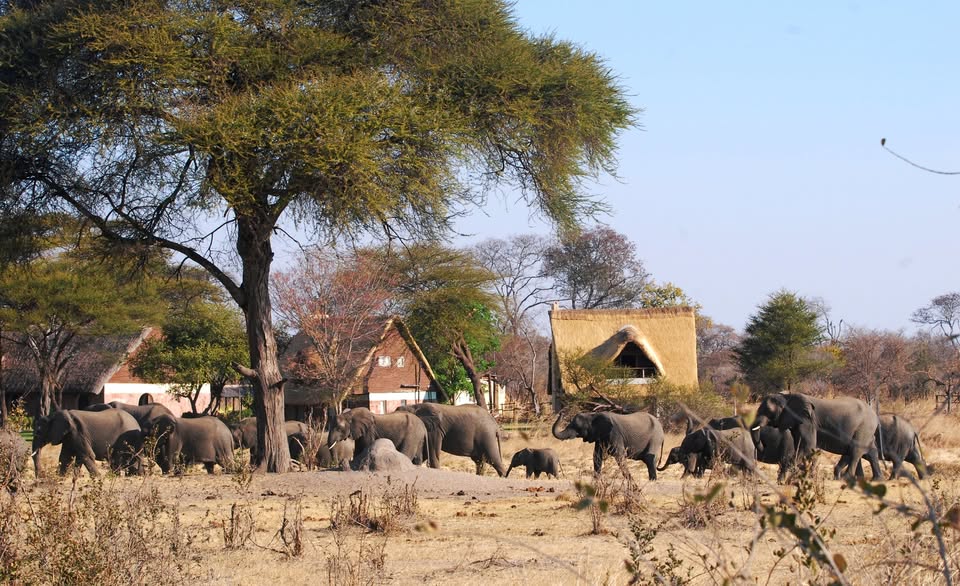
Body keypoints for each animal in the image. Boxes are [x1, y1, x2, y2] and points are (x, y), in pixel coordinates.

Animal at [753, 392, 882, 481]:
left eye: (769, 410)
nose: (763, 447)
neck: (788, 396)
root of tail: (874, 414)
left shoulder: (808, 421)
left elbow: (807, 447)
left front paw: (785, 480)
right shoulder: (797, 422)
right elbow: (801, 446)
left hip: (864, 427)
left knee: (855, 450)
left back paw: (846, 478)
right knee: (869, 452)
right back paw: (876, 479)